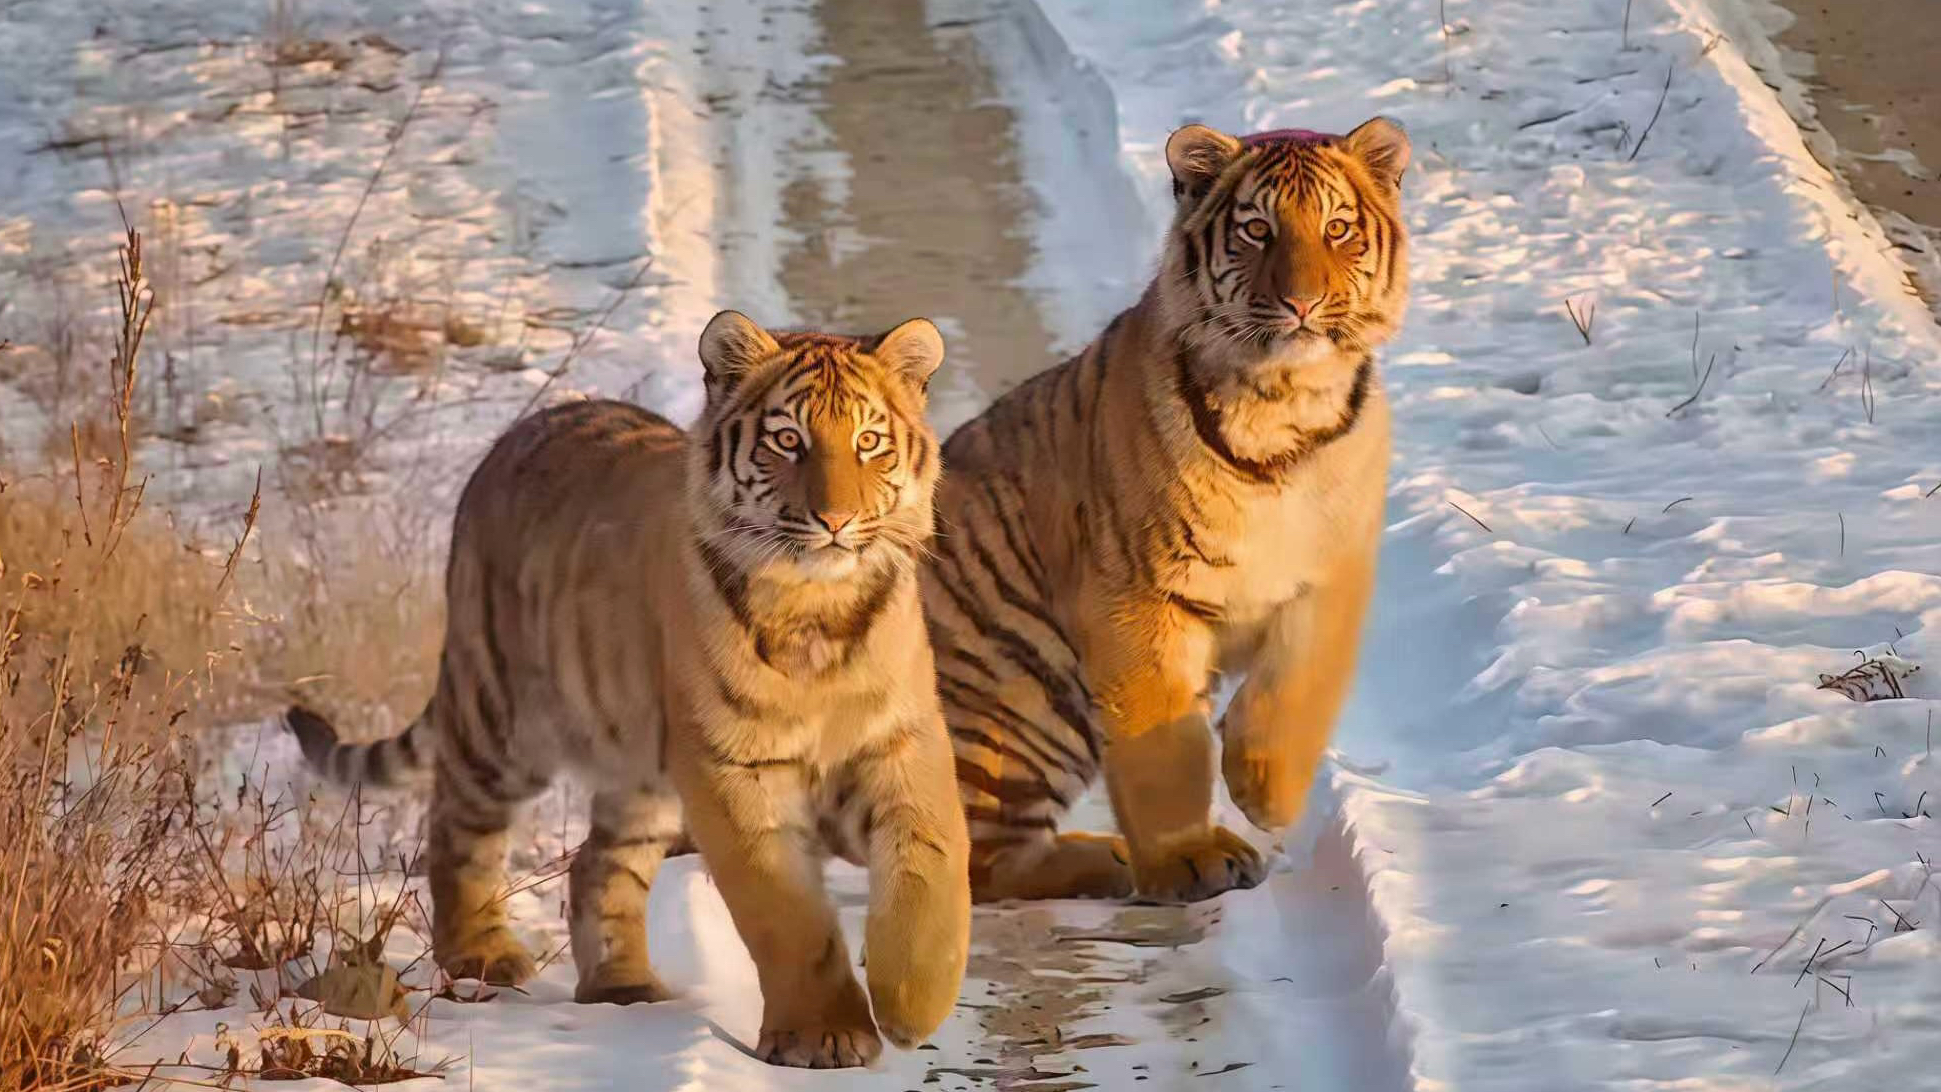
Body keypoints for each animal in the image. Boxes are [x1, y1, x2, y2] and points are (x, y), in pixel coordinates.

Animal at [285, 311, 970, 1069]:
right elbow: (788, 916)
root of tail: (518, 434)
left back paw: (623, 986)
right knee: (459, 824)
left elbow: (932, 868)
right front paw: (825, 1033)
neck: (818, 610)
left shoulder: (903, 743)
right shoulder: (733, 772)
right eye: (787, 440)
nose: (836, 521)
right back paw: (480, 954)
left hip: (642, 774)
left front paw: (914, 1004)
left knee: (595, 863)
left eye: (868, 441)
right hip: (502, 720)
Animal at [924, 118, 1409, 904]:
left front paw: (1265, 791)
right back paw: (1115, 860)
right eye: (1256, 229)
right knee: (979, 860)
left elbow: (1297, 691)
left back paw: (1116, 857)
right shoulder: (1137, 592)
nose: (1303, 304)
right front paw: (1188, 856)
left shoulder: (1330, 574)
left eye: (1337, 228)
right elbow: (1165, 746)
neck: (1283, 403)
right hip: (1026, 696)